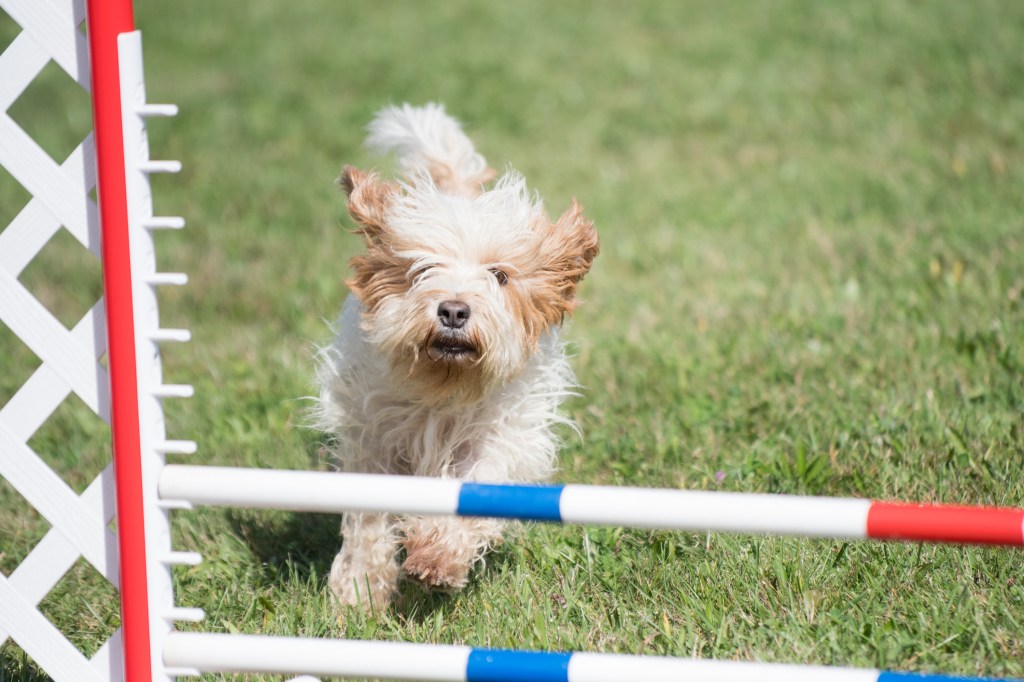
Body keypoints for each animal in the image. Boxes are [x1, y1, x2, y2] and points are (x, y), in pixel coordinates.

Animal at [315, 100, 598, 606]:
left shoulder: (501, 435)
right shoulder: (371, 433)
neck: (444, 390)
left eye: (499, 275)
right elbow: (368, 520)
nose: (452, 310)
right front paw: (359, 590)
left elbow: (474, 490)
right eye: (420, 269)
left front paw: (437, 556)